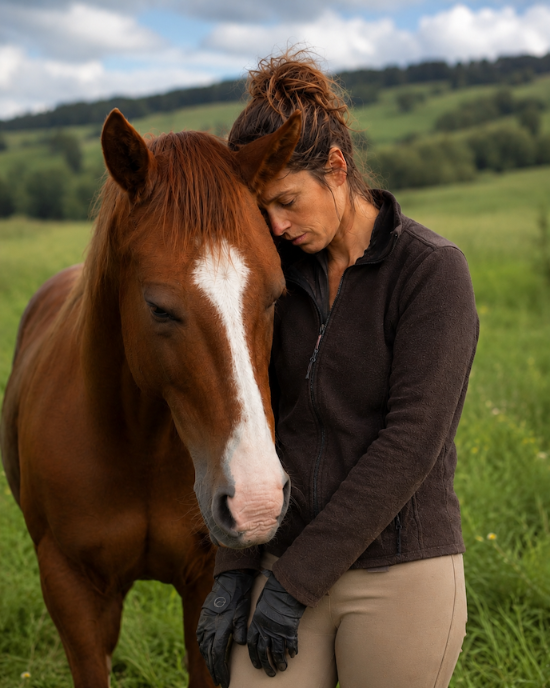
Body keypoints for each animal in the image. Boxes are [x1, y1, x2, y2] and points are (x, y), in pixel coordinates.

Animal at [0, 107, 302, 688]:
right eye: (158, 307)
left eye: (277, 296)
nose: (256, 501)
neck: (136, 442)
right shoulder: (71, 589)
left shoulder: (205, 587)